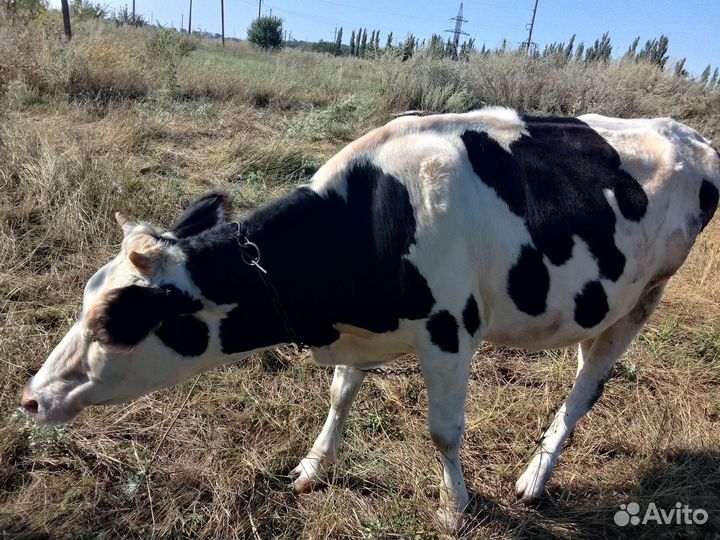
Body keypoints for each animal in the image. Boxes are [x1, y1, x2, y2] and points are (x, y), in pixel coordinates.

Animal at [20, 108, 720, 531]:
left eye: (115, 322)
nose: (30, 398)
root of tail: (688, 134)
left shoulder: (449, 331)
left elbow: (444, 432)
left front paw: (454, 507)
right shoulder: (360, 337)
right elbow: (339, 396)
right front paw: (311, 467)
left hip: (643, 297)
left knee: (588, 385)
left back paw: (533, 477)